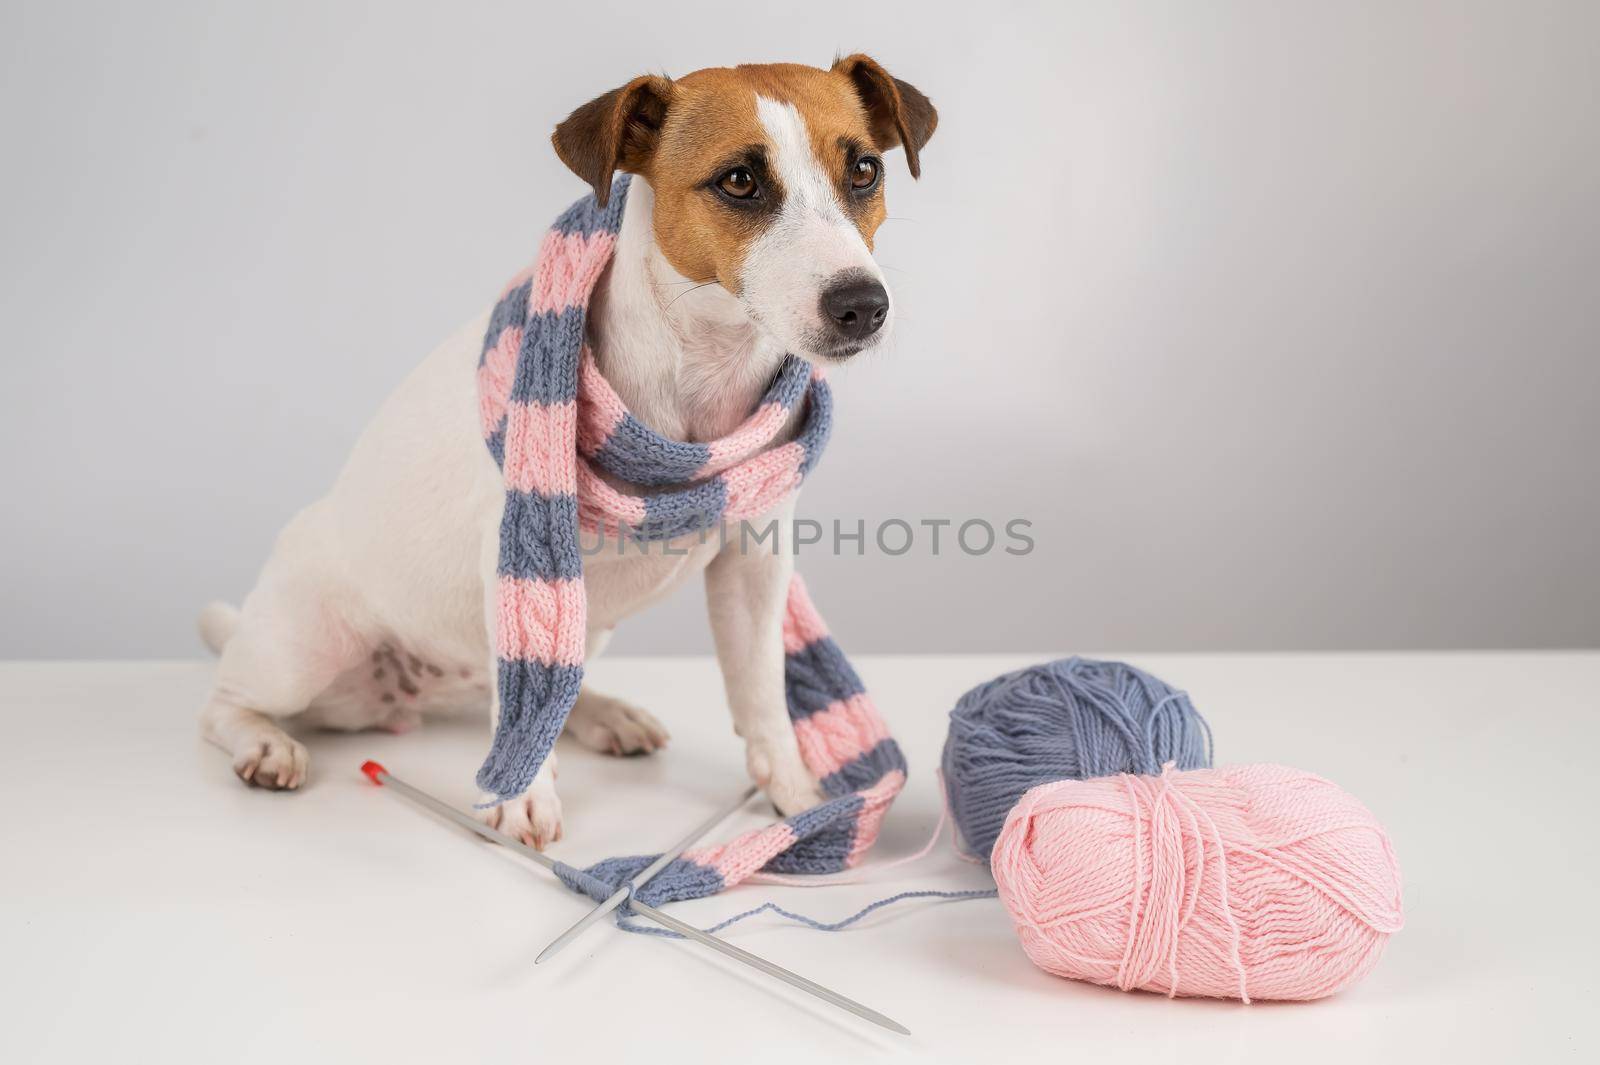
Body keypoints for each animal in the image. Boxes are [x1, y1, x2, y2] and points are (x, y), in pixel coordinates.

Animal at [196, 55, 934, 844]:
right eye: (739, 180)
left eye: (864, 169)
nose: (862, 305)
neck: (700, 379)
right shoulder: (523, 552)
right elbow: (529, 685)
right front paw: (522, 796)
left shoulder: (754, 561)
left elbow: (760, 688)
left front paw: (796, 796)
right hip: (300, 650)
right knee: (225, 703)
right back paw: (265, 743)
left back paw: (603, 713)